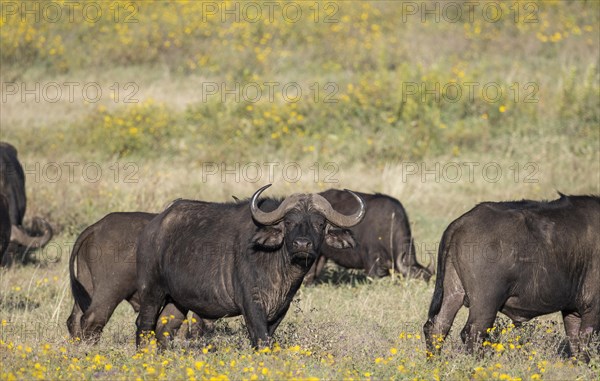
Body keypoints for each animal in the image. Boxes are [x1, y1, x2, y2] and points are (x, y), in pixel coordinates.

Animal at [135, 184, 366, 348]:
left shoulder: (281, 308)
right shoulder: (251, 304)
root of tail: (153, 227)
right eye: (289, 222)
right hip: (152, 291)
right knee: (144, 325)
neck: (278, 268)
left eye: (320, 223)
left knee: (164, 327)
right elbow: (261, 340)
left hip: (177, 300)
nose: (302, 244)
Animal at [424, 194, 596, 360]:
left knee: (437, 327)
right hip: (485, 302)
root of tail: (461, 222)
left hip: (453, 292)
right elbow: (585, 340)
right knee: (473, 332)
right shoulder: (591, 307)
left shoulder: (571, 311)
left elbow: (574, 342)